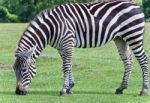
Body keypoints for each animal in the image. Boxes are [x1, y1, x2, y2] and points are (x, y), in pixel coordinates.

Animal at [13, 0, 149, 96]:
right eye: (14, 70)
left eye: (24, 70)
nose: (18, 92)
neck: (51, 28)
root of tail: (136, 5)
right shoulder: (61, 47)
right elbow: (68, 64)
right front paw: (70, 87)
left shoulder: (68, 42)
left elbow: (65, 66)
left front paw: (64, 90)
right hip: (120, 38)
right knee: (128, 61)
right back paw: (121, 88)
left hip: (134, 36)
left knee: (143, 60)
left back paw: (144, 90)